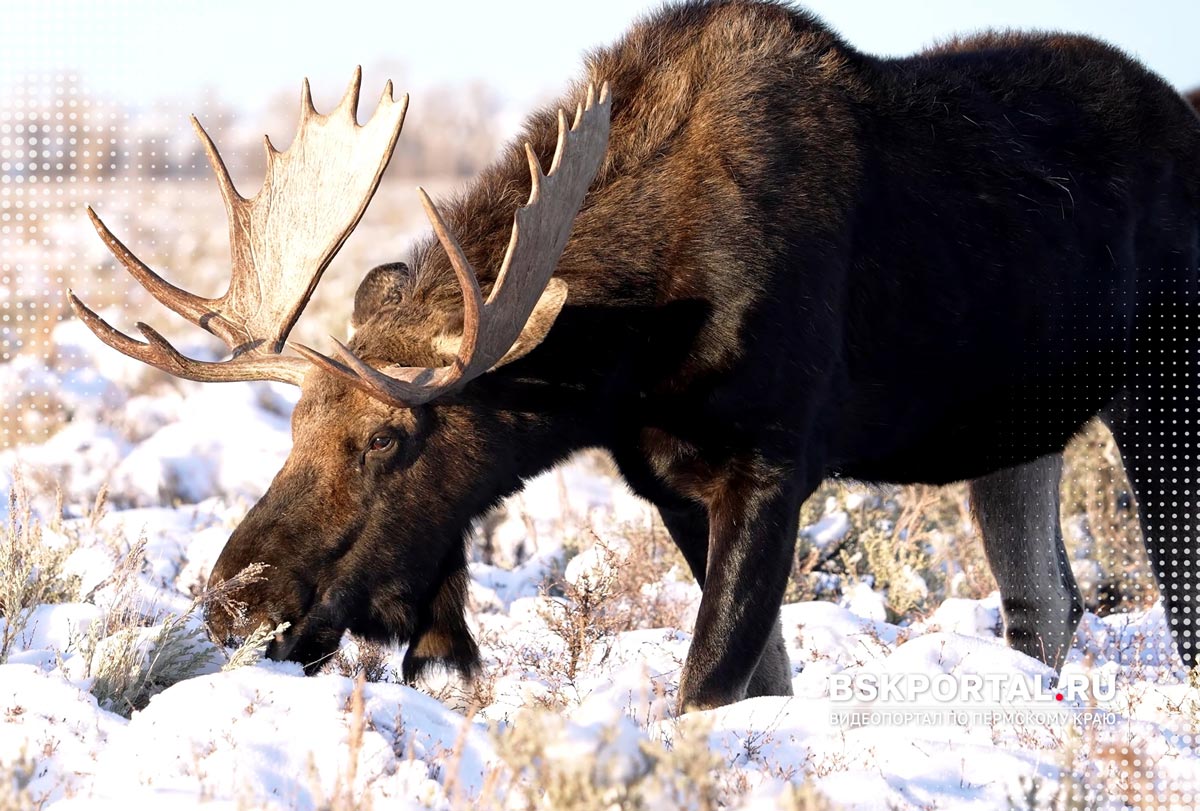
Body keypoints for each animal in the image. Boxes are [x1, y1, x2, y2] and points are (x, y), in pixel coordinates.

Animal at [69, 0, 1200, 711]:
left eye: (390, 438)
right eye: (295, 422)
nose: (233, 602)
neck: (629, 353)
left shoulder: (775, 461)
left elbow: (707, 687)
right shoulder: (666, 479)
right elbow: (759, 683)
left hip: (1161, 396)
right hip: (1021, 431)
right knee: (1046, 601)